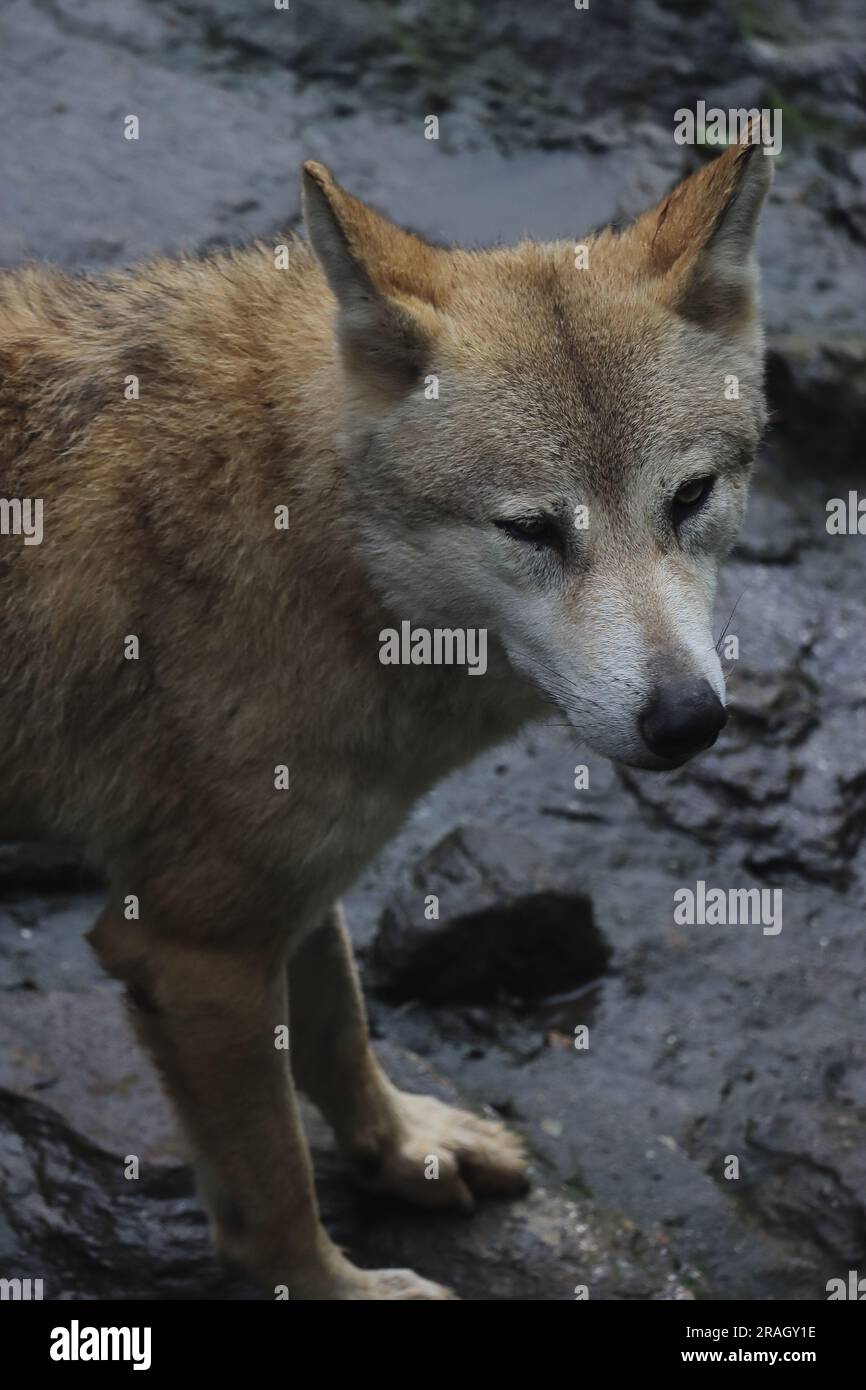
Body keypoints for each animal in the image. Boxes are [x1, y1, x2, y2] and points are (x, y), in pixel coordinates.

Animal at [0, 135, 772, 1295]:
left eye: (687, 499)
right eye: (530, 529)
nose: (685, 721)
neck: (301, 538)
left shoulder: (297, 886)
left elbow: (340, 1041)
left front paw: (410, 1152)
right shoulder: (189, 946)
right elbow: (273, 1191)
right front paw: (344, 1287)